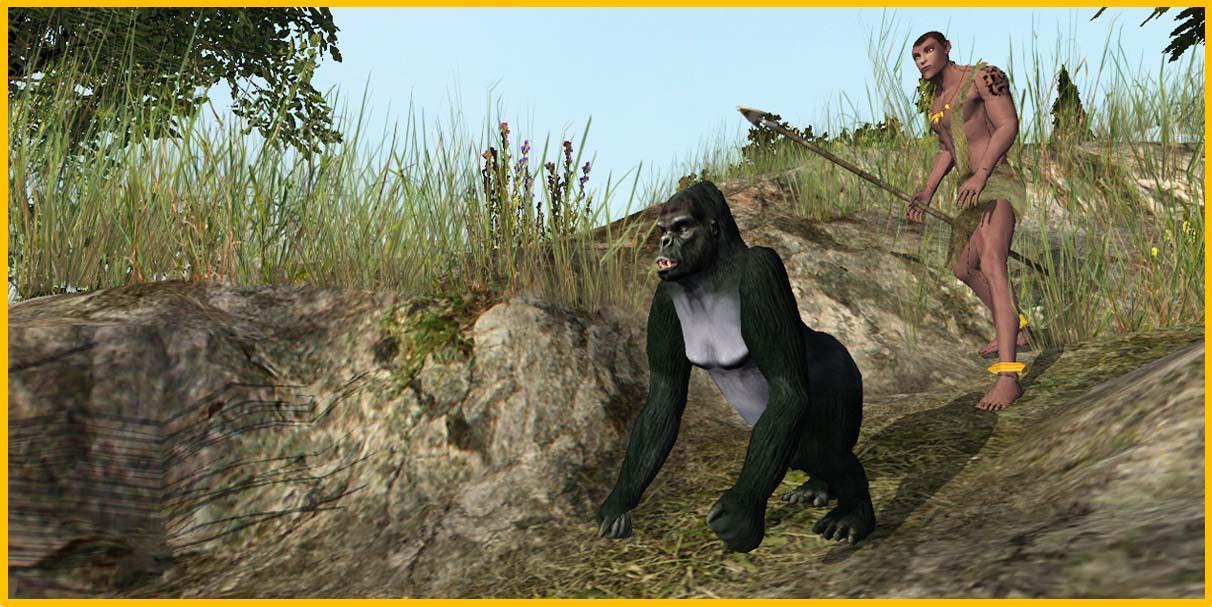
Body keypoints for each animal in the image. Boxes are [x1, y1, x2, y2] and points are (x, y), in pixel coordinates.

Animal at [597, 181, 874, 552]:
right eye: (663, 230)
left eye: (682, 227)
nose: (665, 242)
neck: (710, 273)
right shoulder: (663, 298)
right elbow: (664, 398)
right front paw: (618, 502)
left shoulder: (762, 270)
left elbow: (786, 386)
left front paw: (742, 513)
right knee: (807, 450)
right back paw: (818, 486)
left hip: (843, 373)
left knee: (817, 445)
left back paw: (855, 511)